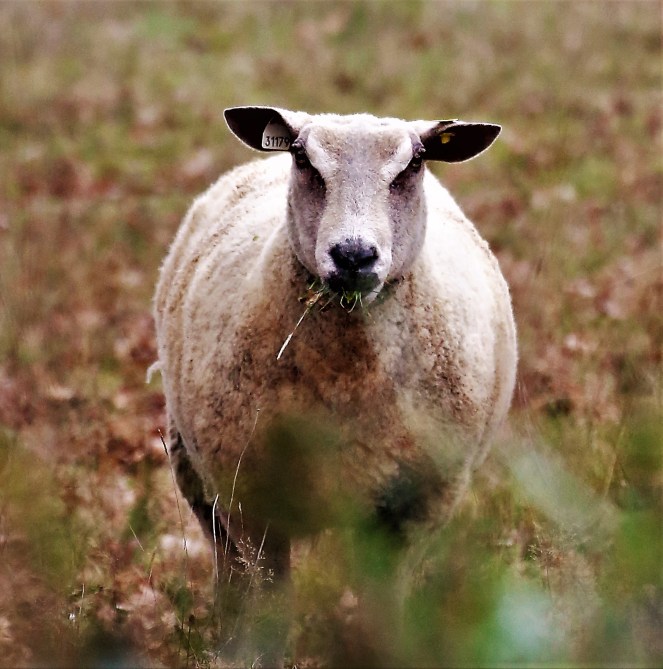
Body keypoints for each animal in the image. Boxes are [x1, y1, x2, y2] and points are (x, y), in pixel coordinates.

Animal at [153, 105, 517, 657]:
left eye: (414, 164)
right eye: (304, 160)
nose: (353, 255)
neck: (348, 378)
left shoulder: (412, 511)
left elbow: (384, 612)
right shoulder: (256, 504)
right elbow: (272, 610)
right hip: (197, 476)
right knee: (230, 572)